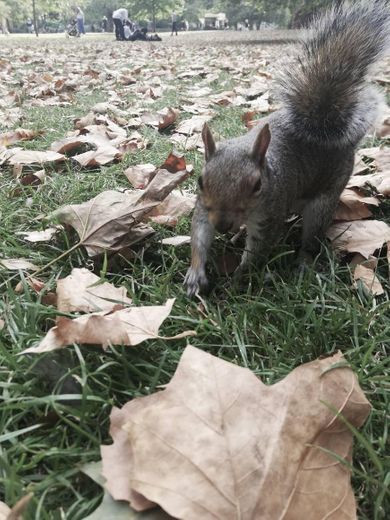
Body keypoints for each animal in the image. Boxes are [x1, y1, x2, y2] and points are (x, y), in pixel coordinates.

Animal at [184, 0, 390, 296]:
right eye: (200, 181)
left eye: (257, 185)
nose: (222, 225)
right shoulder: (203, 207)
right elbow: (199, 236)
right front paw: (195, 273)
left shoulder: (271, 213)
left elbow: (258, 251)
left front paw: (238, 280)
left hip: (324, 200)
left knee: (311, 239)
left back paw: (302, 264)